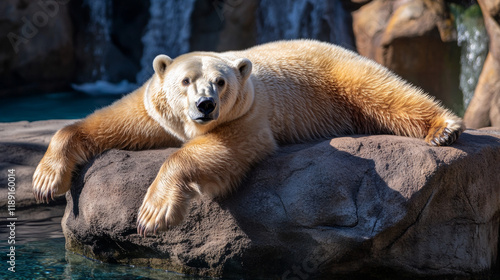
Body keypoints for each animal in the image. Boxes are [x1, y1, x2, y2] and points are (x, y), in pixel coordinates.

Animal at [32, 39, 464, 236]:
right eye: (185, 81)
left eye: (220, 82)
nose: (205, 104)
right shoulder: (155, 109)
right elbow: (110, 124)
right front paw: (46, 179)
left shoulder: (249, 111)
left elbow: (228, 149)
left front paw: (153, 213)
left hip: (339, 74)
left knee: (385, 92)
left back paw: (444, 127)